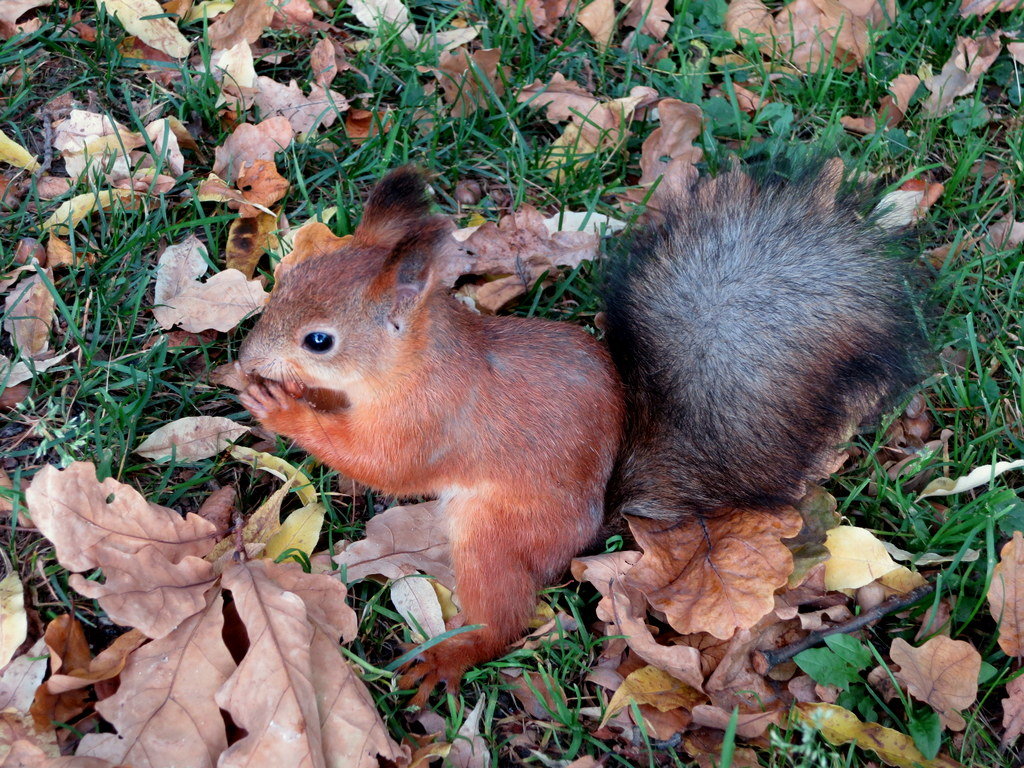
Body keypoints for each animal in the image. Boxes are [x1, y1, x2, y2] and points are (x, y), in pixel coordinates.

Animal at [239, 162, 929, 704]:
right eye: (287, 279)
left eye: (319, 341)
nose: (246, 356)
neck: (415, 363)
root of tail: (592, 524)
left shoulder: (427, 422)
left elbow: (383, 463)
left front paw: (279, 407)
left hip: (495, 536)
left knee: (502, 618)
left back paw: (452, 656)